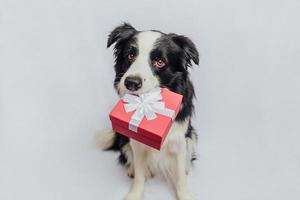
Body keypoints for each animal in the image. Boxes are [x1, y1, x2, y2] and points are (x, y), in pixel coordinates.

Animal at [98, 23, 199, 200]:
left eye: (160, 61)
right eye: (130, 55)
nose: (131, 83)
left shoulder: (180, 138)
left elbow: (180, 174)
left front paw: (184, 194)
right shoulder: (136, 142)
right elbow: (139, 173)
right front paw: (135, 194)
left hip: (191, 135)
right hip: (124, 138)